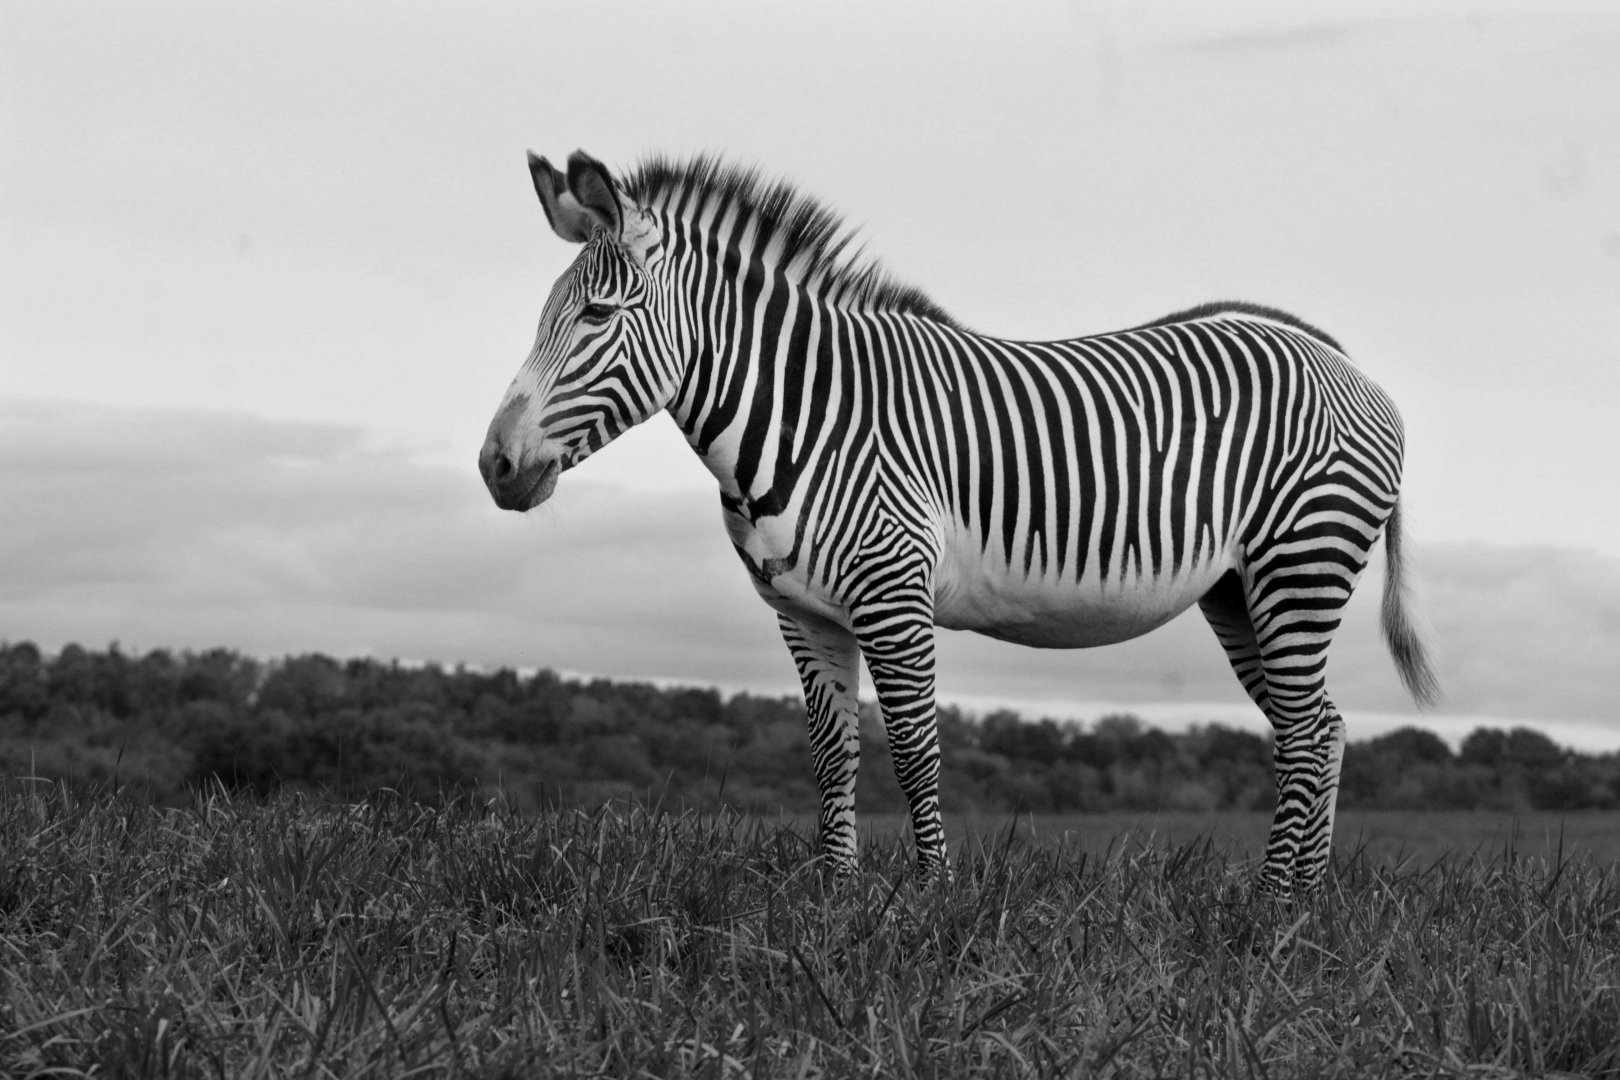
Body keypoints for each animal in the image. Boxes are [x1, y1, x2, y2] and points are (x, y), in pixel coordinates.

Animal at [479, 149, 1439, 897]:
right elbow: (831, 753)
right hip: (1240, 590)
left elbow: (913, 748)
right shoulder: (803, 612)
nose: (495, 466)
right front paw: (836, 895)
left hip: (1300, 564)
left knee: (1307, 735)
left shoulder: (893, 594)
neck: (805, 415)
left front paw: (932, 896)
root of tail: (1339, 359)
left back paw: (1269, 904)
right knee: (1322, 728)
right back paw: (1304, 901)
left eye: (598, 316)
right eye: (544, 317)